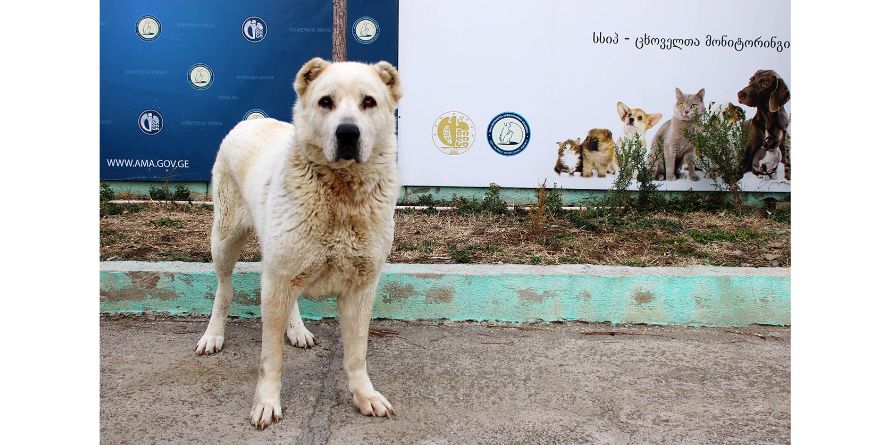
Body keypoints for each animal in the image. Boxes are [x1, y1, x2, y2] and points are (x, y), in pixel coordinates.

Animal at [197, 57, 402, 428]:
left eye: (369, 101)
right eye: (326, 102)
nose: (347, 132)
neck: (341, 195)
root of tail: (254, 121)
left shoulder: (361, 288)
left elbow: (357, 354)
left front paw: (364, 395)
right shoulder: (277, 281)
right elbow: (271, 358)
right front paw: (266, 402)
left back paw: (296, 329)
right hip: (226, 238)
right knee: (224, 288)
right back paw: (213, 334)